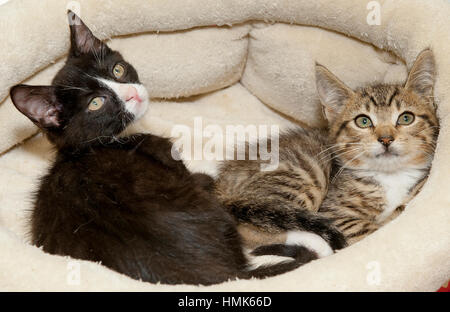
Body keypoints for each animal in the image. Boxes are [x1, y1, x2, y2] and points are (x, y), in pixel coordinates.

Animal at [314, 49, 438, 244]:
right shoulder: (329, 214)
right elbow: (366, 229)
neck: (391, 177)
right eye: (363, 121)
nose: (386, 139)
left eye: (406, 118)